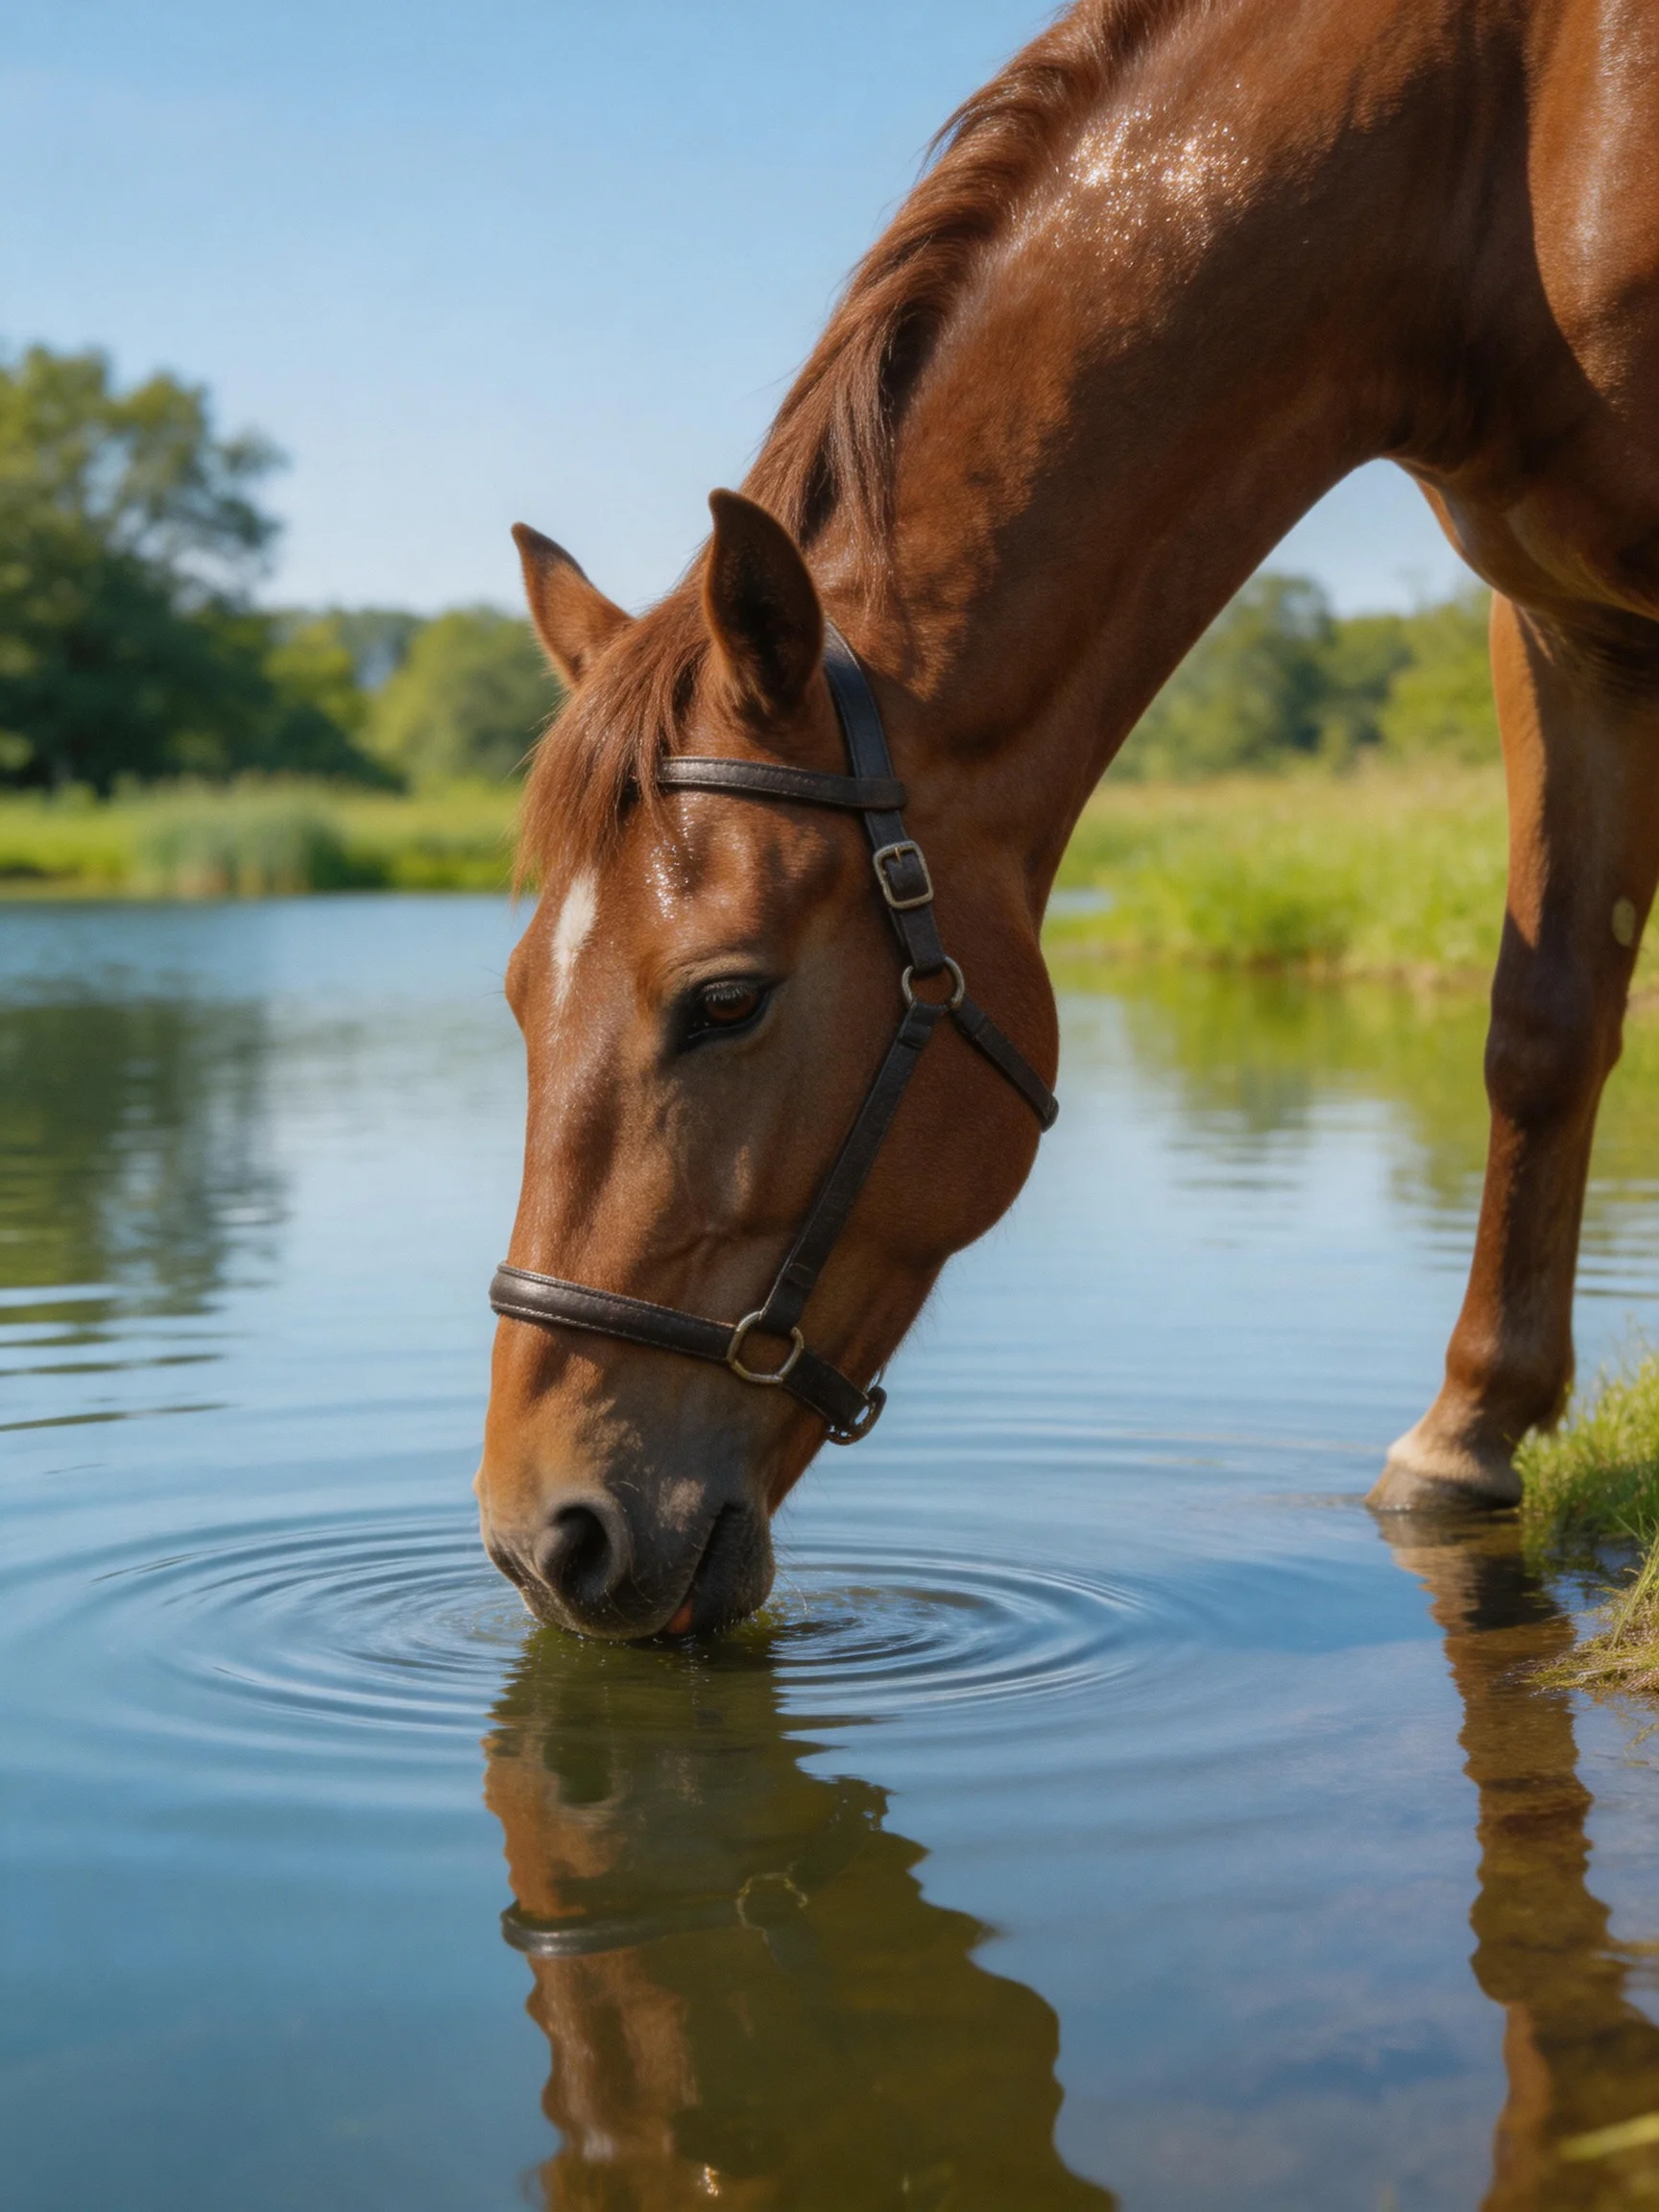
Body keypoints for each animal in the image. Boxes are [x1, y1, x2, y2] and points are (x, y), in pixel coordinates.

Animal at [478, 0, 1659, 1638]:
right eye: (522, 993)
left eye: (723, 1001)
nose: (546, 1538)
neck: (1497, 151)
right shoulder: (1560, 626)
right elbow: (1543, 1028)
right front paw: (1465, 1439)